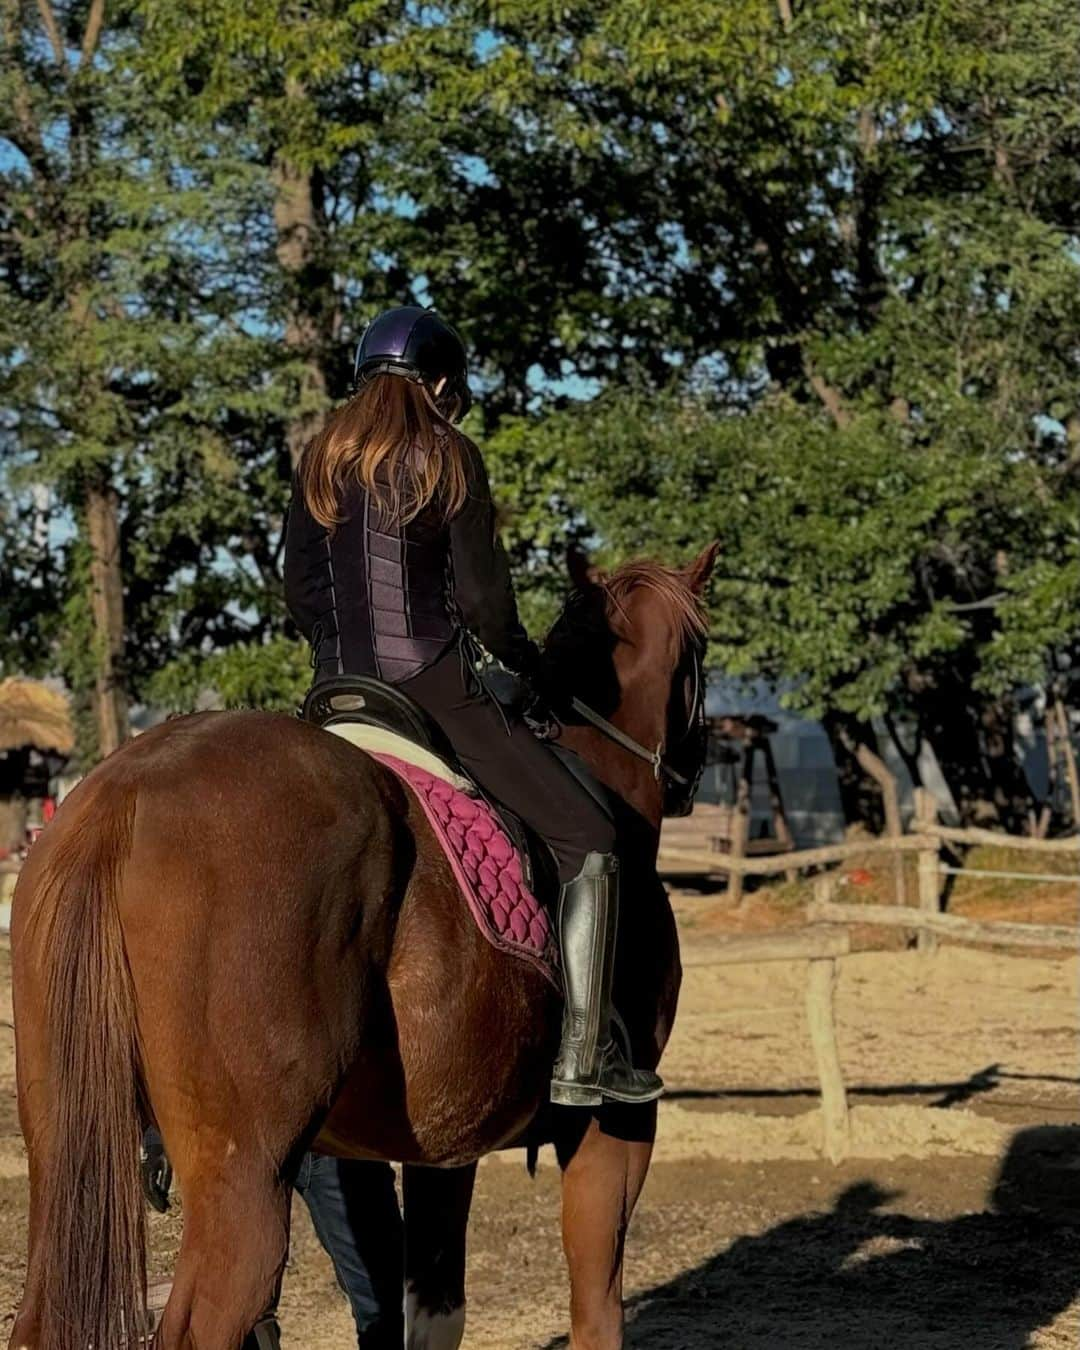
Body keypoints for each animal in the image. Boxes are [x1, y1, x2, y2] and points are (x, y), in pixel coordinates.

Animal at [10, 540, 718, 1350]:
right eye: (701, 652)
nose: (698, 767)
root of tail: (124, 793)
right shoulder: (615, 1128)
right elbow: (596, 1310)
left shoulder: (448, 1140)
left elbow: (432, 1309)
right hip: (245, 1185)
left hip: (66, 1152)